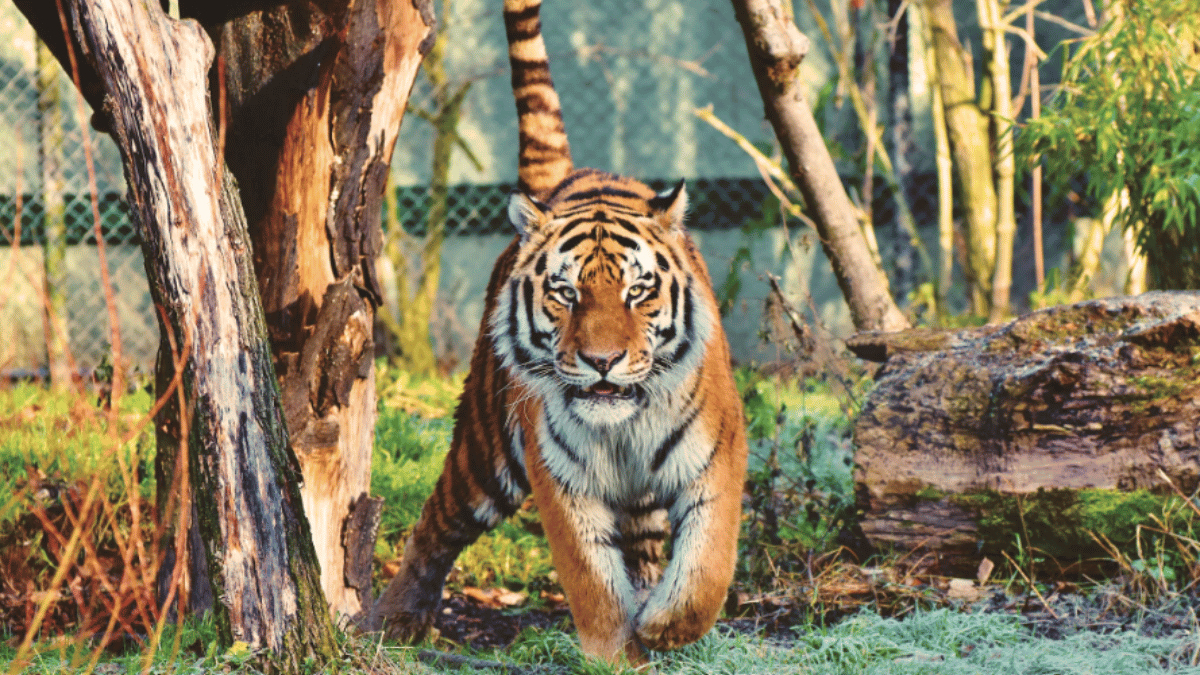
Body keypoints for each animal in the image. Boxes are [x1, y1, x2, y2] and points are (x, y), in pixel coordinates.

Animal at [371, 0, 748, 665]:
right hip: (485, 450)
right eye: (566, 293)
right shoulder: (560, 478)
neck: (623, 429)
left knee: (645, 549)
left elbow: (707, 567)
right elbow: (591, 581)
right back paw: (394, 618)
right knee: (436, 523)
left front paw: (663, 627)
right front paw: (615, 655)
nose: (602, 360)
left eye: (637, 291)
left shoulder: (717, 455)